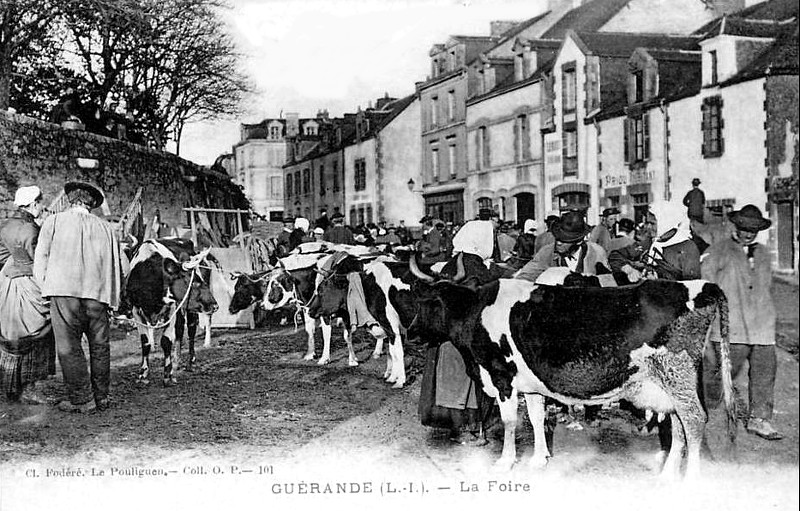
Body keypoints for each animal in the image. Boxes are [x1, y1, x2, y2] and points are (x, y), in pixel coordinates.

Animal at [124, 242, 219, 386]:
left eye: (200, 280)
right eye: (195, 282)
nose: (215, 306)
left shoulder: (171, 308)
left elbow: (166, 341)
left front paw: (167, 375)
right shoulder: (136, 311)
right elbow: (145, 342)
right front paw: (143, 373)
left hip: (189, 310)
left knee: (191, 330)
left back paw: (189, 362)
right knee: (179, 331)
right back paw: (176, 363)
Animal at [410, 258, 736, 482]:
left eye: (426, 302)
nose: (411, 331)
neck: (476, 312)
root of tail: (699, 285)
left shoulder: (502, 377)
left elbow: (510, 422)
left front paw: (505, 462)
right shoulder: (530, 384)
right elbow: (537, 418)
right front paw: (539, 458)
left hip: (677, 373)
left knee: (694, 419)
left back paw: (690, 479)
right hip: (670, 382)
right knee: (679, 422)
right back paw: (668, 474)